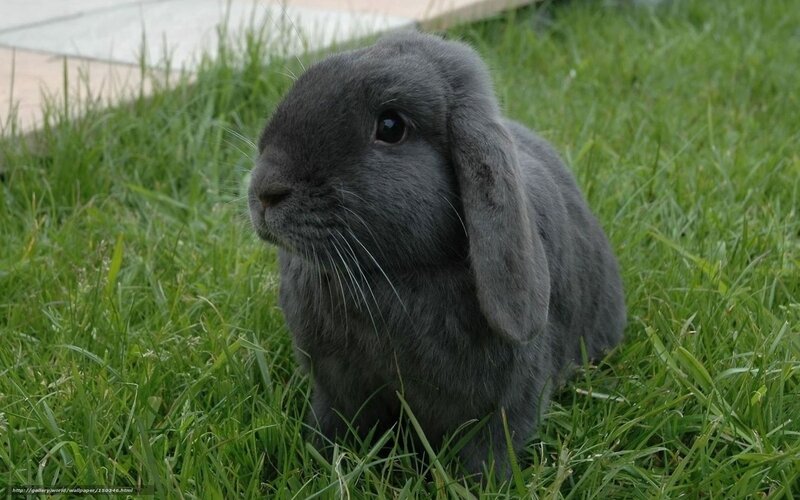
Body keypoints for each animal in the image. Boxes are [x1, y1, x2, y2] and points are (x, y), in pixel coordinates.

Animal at [248, 30, 626, 477]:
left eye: (391, 127)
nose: (265, 190)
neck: (391, 276)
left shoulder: (502, 409)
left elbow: (488, 453)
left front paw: (483, 483)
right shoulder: (336, 391)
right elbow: (333, 425)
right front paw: (323, 461)